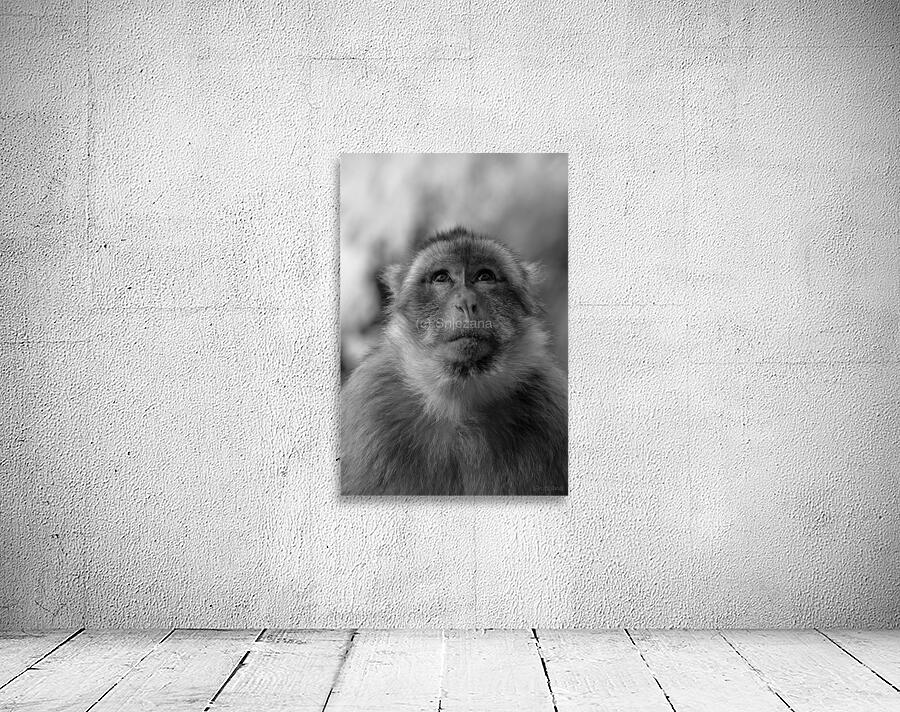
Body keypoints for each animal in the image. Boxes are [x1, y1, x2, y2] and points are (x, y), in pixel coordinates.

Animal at [340, 227, 567, 496]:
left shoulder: (552, 406)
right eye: (442, 278)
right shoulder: (369, 403)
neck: (459, 404)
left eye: (484, 276)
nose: (466, 303)